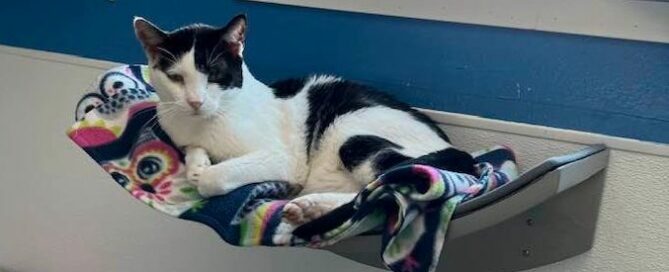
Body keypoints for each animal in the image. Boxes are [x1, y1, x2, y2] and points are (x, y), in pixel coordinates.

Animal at [132, 13, 474, 224]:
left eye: (213, 73)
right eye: (175, 77)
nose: (195, 101)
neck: (205, 121)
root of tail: (461, 153)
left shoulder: (285, 158)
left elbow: (213, 179)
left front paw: (204, 175)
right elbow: (193, 150)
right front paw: (197, 164)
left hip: (354, 135)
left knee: (381, 188)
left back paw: (311, 207)